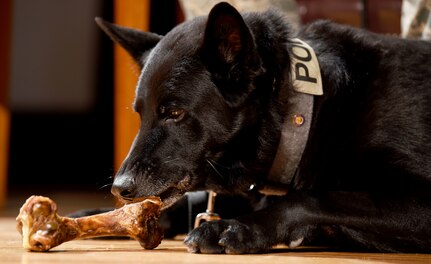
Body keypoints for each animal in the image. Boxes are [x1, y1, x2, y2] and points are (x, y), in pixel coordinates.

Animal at [96, 2, 430, 254]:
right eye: (141, 115)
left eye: (175, 113)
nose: (119, 188)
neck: (306, 113)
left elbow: (312, 196)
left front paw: (237, 228)